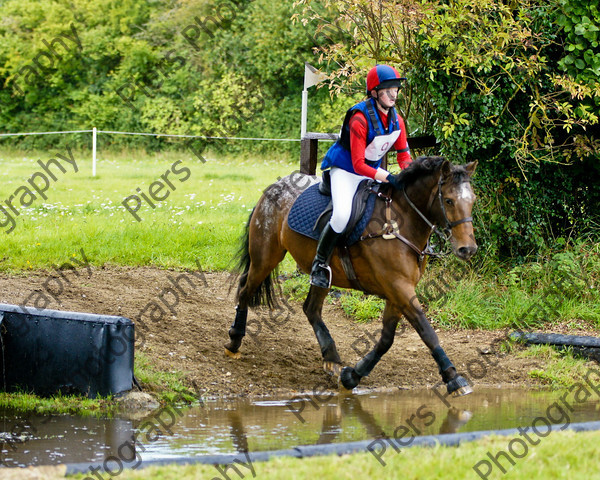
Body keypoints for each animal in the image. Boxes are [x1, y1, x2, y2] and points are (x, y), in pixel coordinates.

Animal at [225, 156, 478, 396]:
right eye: (449, 201)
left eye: (473, 201)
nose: (468, 249)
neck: (399, 224)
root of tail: (274, 186)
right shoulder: (399, 288)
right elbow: (427, 331)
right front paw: (454, 378)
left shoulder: (397, 292)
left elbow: (386, 339)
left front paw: (352, 376)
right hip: (266, 257)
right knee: (245, 290)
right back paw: (235, 339)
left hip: (324, 275)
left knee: (311, 308)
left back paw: (332, 359)